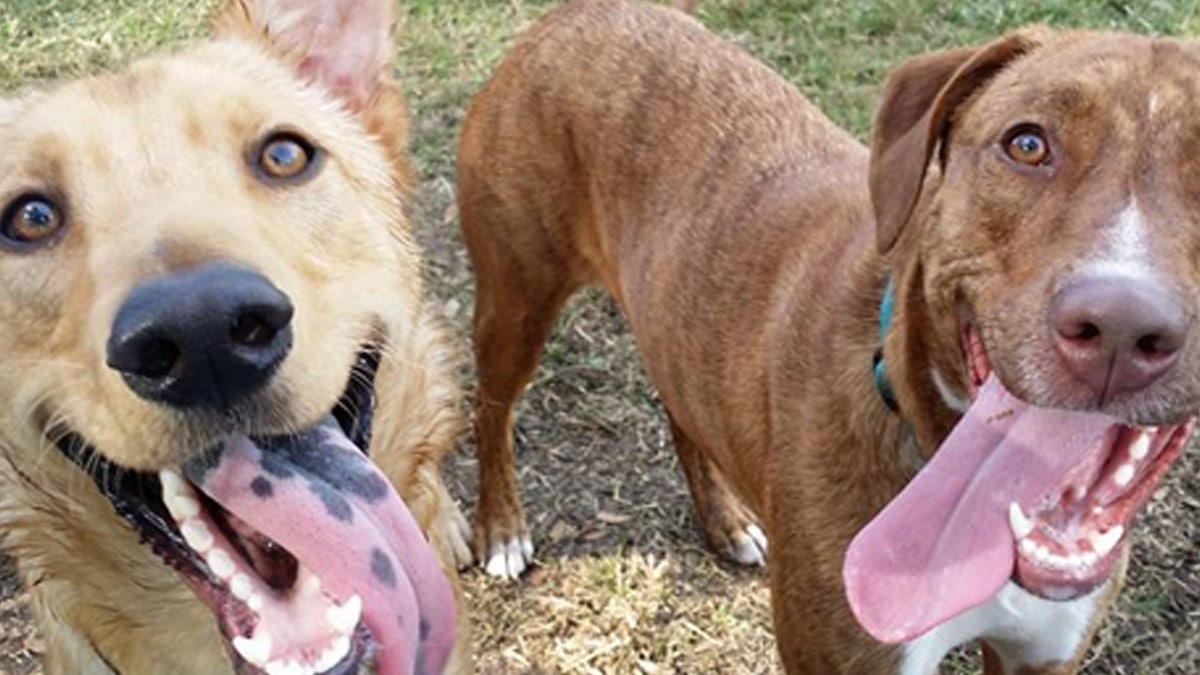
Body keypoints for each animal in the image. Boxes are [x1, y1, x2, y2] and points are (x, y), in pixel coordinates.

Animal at [456, 1, 1200, 672]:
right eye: (1027, 144)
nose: (1118, 327)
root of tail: (582, 11)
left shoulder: (1041, 655)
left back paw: (724, 519)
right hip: (516, 297)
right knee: (491, 409)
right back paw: (501, 529)